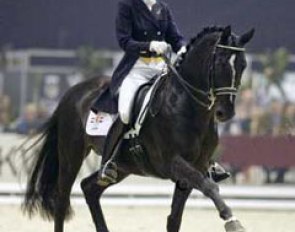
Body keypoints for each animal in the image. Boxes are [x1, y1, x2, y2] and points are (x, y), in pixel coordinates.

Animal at [22, 25, 254, 232]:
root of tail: (73, 91)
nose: (226, 112)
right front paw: (232, 221)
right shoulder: (172, 162)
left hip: (123, 166)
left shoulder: (195, 168)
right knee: (62, 199)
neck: (187, 106)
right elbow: (209, 187)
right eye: (221, 62)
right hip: (72, 154)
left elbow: (175, 219)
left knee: (89, 188)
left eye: (243, 65)